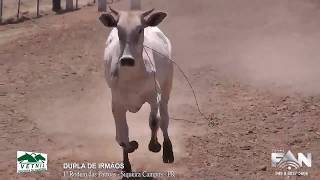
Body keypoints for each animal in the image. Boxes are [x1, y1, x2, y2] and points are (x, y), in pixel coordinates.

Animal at [100, 7, 175, 172]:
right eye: (119, 29)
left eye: (140, 29)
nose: (127, 60)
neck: (132, 78)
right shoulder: (117, 105)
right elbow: (121, 136)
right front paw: (128, 156)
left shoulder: (154, 96)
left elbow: (154, 121)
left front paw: (154, 145)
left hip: (167, 87)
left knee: (164, 119)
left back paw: (168, 150)